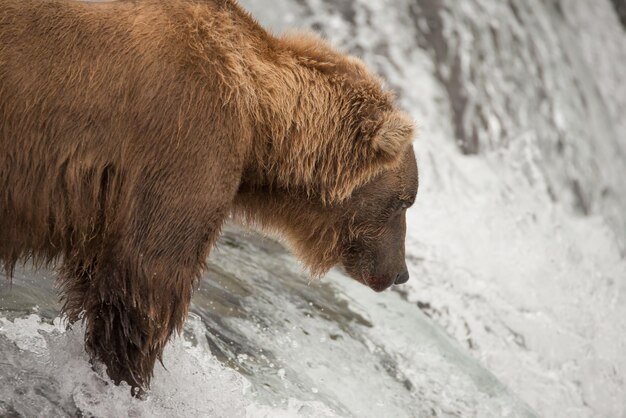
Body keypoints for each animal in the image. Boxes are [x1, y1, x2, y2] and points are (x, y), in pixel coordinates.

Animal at [1, 0, 420, 392]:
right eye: (404, 203)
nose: (401, 272)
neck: (260, 122)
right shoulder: (186, 143)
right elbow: (148, 275)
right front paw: (127, 377)